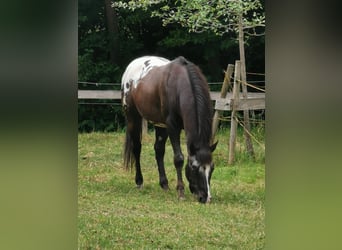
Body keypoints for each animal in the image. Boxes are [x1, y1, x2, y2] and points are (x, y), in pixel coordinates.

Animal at [121, 55, 216, 203]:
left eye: (212, 168)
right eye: (194, 167)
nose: (205, 198)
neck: (179, 87)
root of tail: (132, 65)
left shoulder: (169, 126)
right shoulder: (172, 126)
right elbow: (179, 158)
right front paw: (181, 191)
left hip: (160, 125)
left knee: (159, 150)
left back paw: (164, 184)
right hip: (132, 117)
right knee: (136, 148)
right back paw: (139, 181)